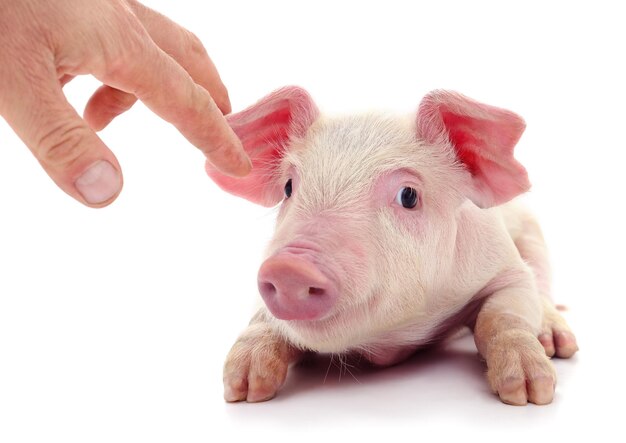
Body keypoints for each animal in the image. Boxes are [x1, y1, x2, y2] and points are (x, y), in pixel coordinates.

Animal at [207, 86, 576, 406]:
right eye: (288, 187)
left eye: (408, 195)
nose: (289, 265)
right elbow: (263, 321)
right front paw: (242, 389)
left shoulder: (506, 267)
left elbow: (502, 316)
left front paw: (531, 393)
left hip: (532, 234)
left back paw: (558, 344)